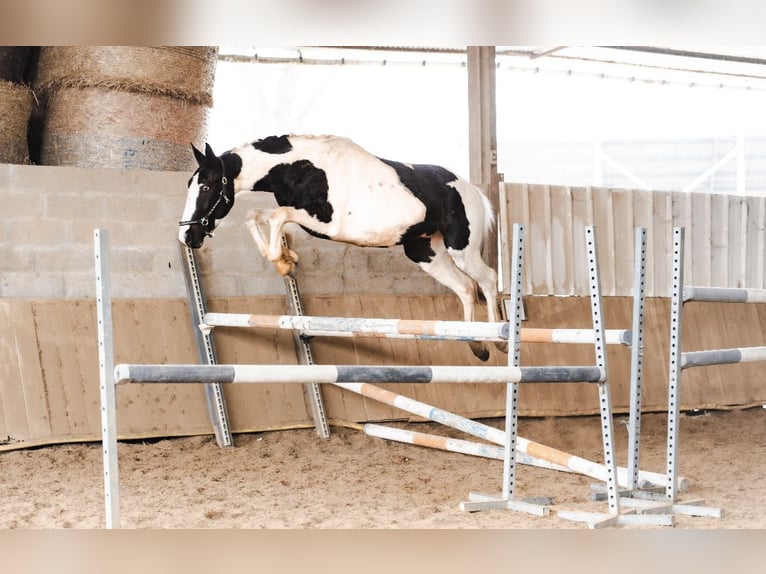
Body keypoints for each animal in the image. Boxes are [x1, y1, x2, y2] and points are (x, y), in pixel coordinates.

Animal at [177, 133, 508, 362]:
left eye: (206, 187)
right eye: (190, 186)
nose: (187, 237)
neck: (305, 168)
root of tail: (471, 189)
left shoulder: (326, 223)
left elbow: (278, 217)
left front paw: (285, 262)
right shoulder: (302, 215)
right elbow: (256, 216)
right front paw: (287, 258)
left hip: (461, 248)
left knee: (488, 280)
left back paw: (499, 341)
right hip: (426, 252)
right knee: (465, 287)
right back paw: (476, 346)